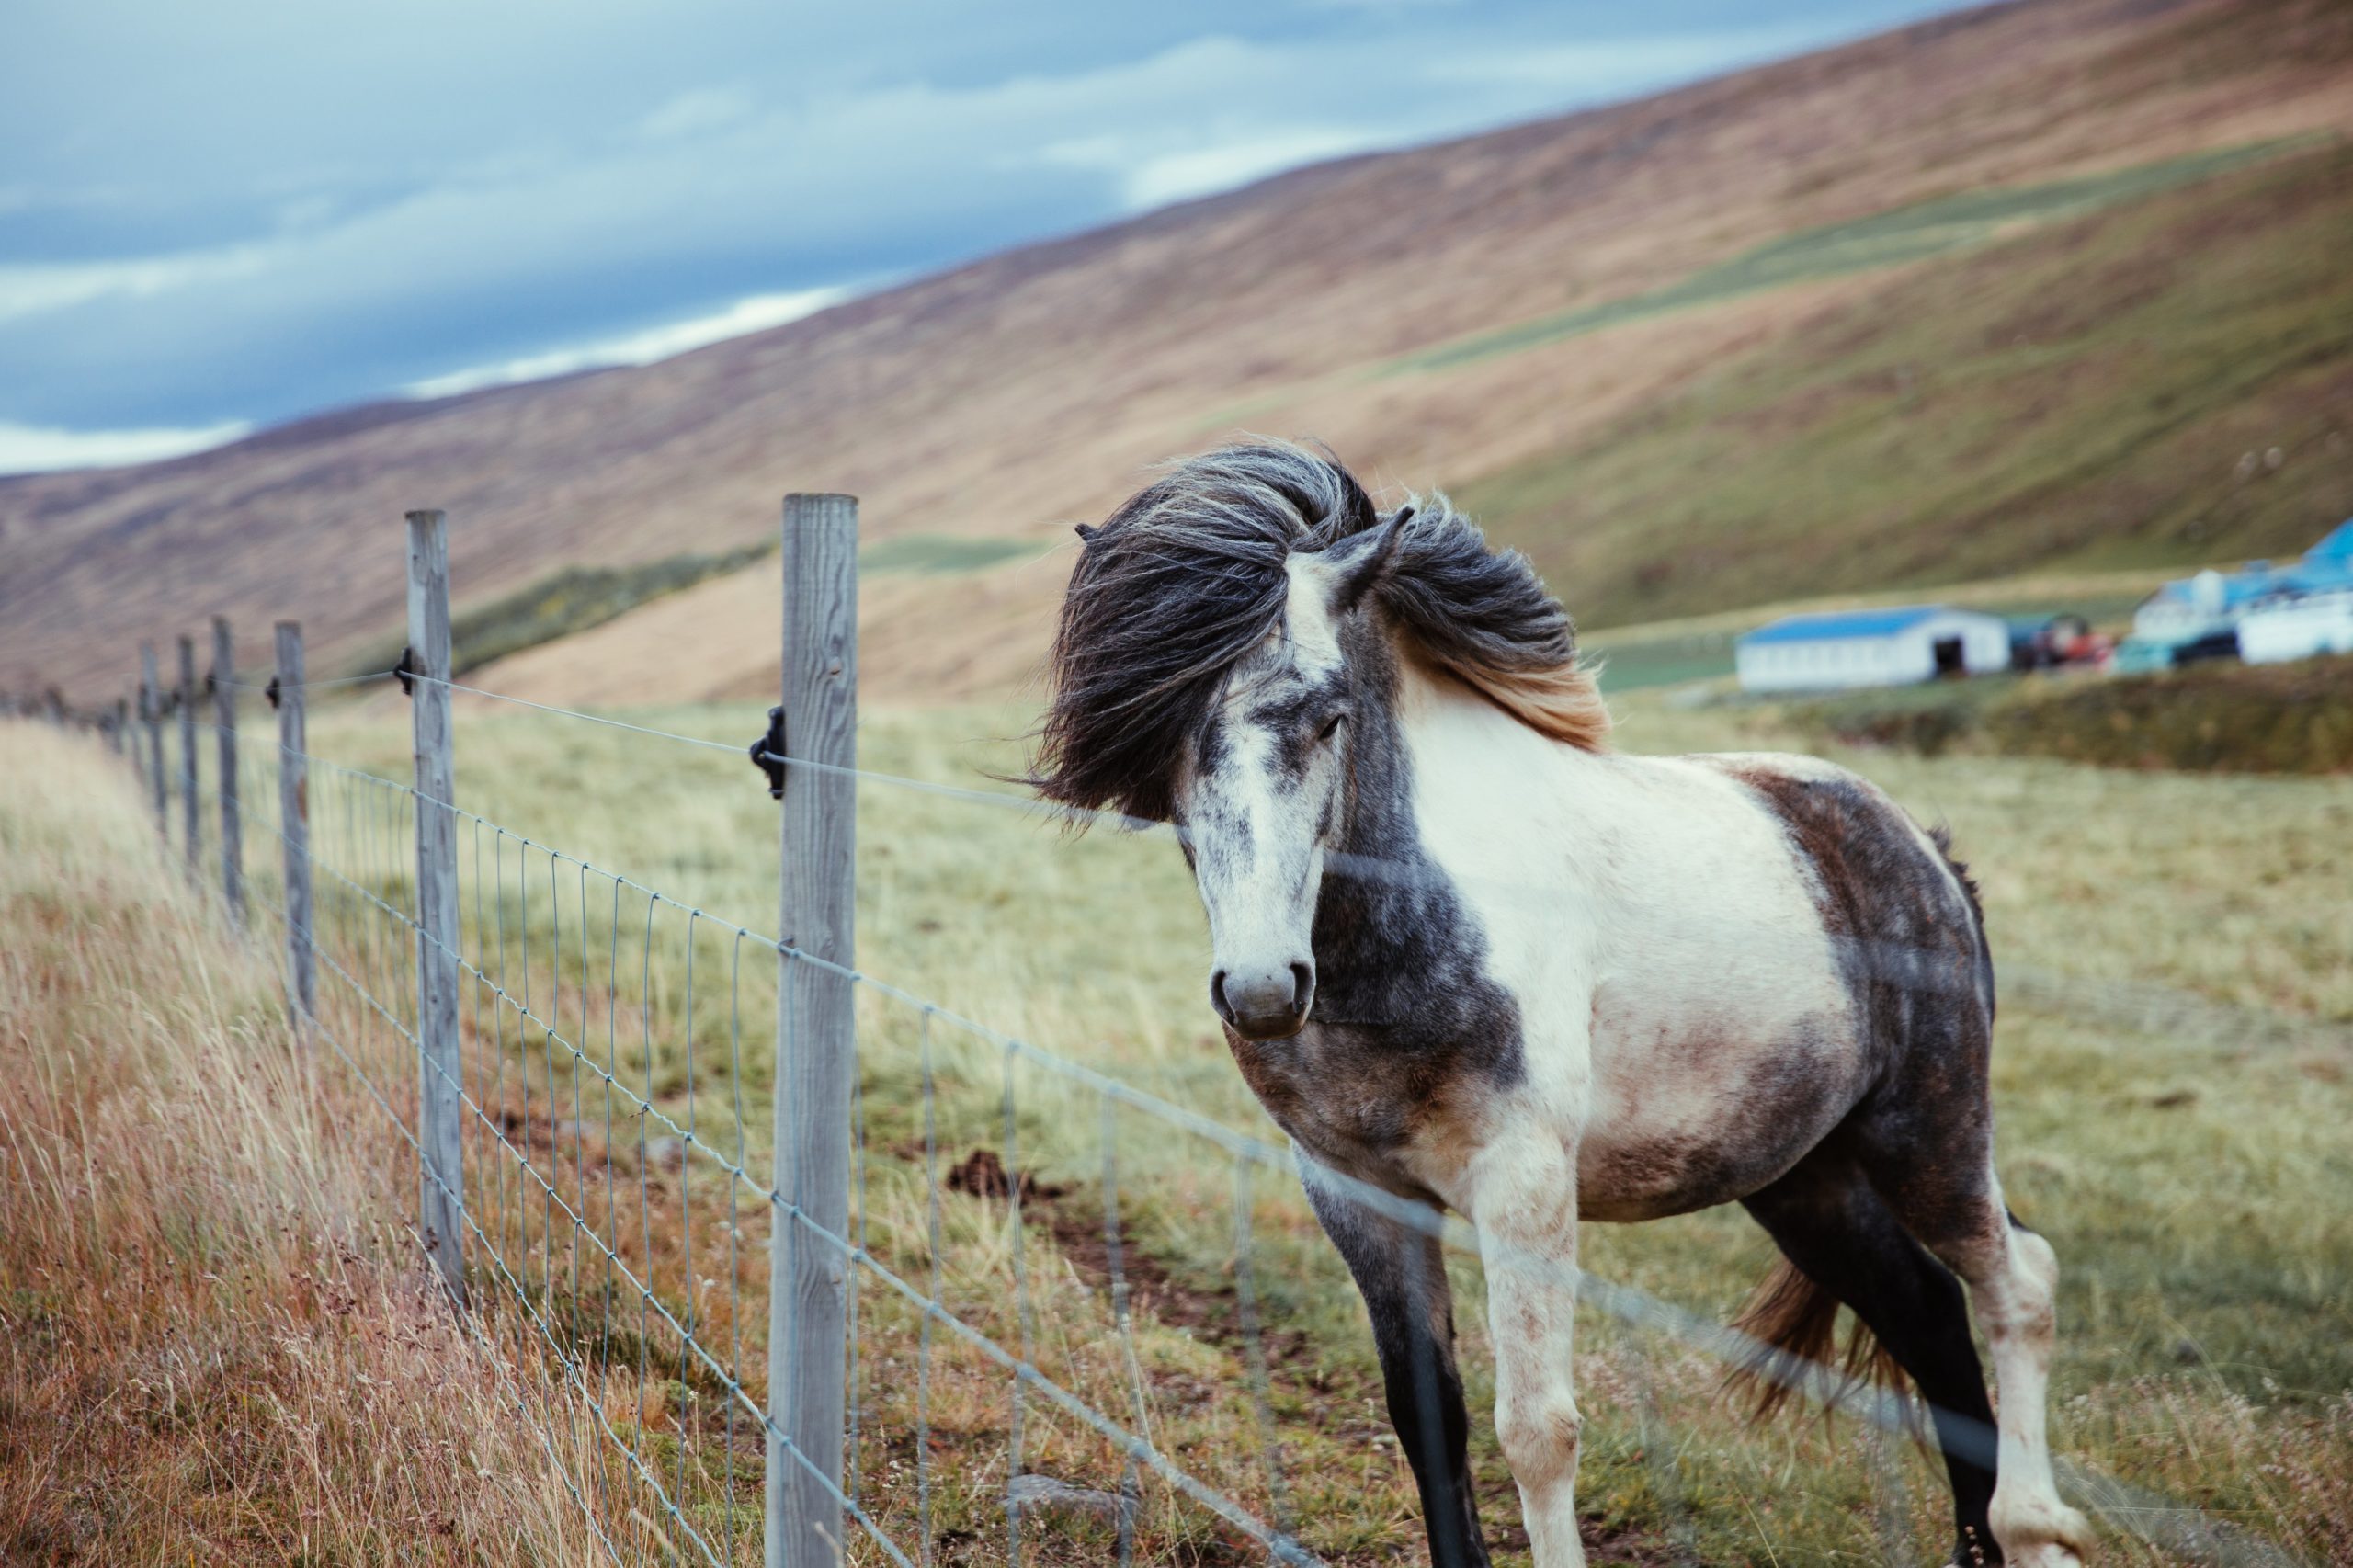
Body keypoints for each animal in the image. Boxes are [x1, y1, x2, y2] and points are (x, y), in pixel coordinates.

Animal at [1030, 440, 2098, 1562]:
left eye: (1328, 716)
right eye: (1162, 736)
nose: (1263, 987)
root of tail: (1921, 850)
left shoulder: (1524, 1180)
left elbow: (1536, 1430)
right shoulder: (1354, 1191)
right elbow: (1427, 1416)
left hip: (1926, 1129)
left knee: (2016, 1284)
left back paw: (2032, 1525)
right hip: (1802, 1174)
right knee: (1927, 1316)